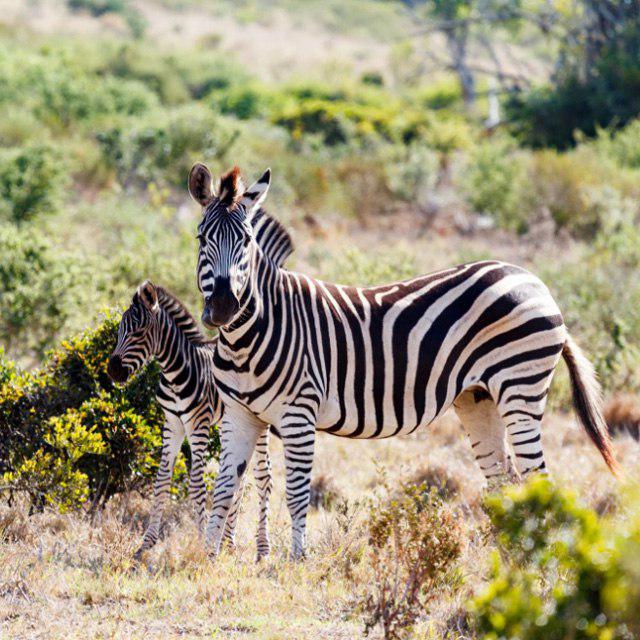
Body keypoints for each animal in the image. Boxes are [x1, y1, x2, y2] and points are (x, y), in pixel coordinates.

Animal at [189, 165, 616, 560]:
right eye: (201, 238)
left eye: (246, 241)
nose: (224, 307)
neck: (248, 336)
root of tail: (534, 280)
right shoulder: (240, 414)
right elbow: (224, 489)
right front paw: (207, 559)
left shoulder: (299, 413)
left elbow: (295, 493)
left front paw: (296, 563)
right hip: (479, 398)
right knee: (503, 480)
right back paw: (509, 562)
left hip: (520, 387)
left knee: (537, 478)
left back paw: (536, 564)